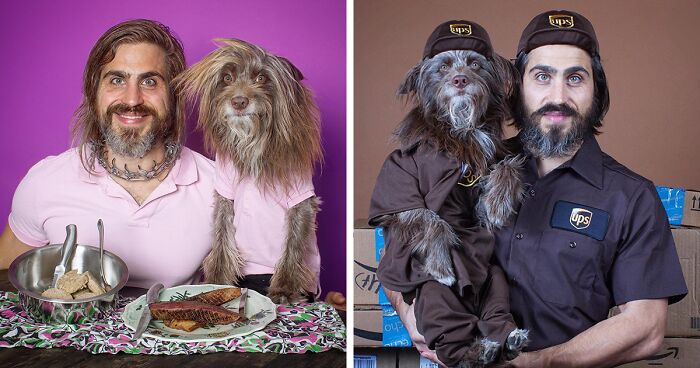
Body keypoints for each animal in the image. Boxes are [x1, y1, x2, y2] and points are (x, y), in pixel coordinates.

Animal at [178, 38, 326, 304]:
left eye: (261, 78)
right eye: (226, 78)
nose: (239, 101)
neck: (253, 143)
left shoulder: (300, 199)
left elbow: (293, 243)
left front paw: (284, 288)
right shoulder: (225, 195)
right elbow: (222, 234)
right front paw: (218, 279)